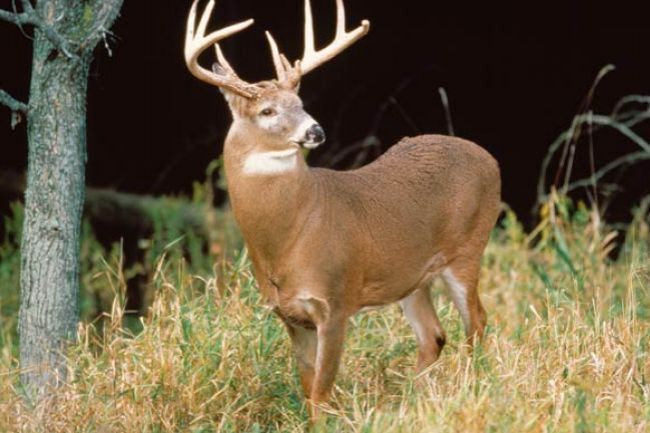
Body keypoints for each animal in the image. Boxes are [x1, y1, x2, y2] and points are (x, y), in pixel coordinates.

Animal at [185, 0, 501, 419]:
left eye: (301, 103)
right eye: (268, 111)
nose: (315, 131)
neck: (287, 240)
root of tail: (491, 160)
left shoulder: (335, 301)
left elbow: (321, 393)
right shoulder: (289, 313)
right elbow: (307, 387)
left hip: (467, 248)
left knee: (477, 322)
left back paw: (470, 387)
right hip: (411, 275)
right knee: (434, 335)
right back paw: (413, 403)